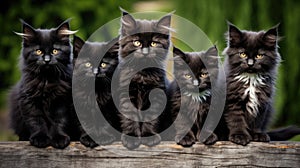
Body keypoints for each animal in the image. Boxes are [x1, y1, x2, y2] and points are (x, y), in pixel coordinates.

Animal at [9, 19, 75, 148]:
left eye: (55, 51)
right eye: (38, 51)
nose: (47, 60)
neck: (46, 80)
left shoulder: (62, 101)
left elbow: (59, 120)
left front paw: (59, 138)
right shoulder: (29, 101)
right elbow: (36, 121)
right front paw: (40, 138)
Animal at [115, 9, 171, 149]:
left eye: (154, 43)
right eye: (137, 43)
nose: (145, 52)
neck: (142, 74)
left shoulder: (157, 94)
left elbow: (151, 116)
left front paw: (149, 136)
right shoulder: (126, 93)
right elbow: (129, 115)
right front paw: (131, 138)